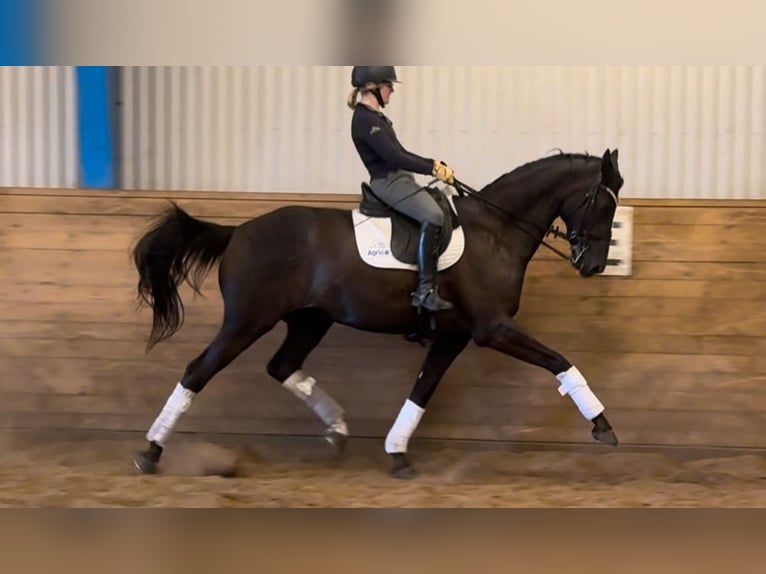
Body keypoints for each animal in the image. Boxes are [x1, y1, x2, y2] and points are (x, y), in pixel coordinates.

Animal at [130, 147, 624, 476]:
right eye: (601, 202)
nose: (594, 266)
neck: (495, 232)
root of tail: (237, 232)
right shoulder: (493, 328)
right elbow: (560, 362)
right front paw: (603, 426)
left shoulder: (455, 335)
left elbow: (422, 391)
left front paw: (397, 452)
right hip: (246, 321)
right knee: (198, 371)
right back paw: (150, 453)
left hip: (310, 320)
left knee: (282, 365)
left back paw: (337, 428)